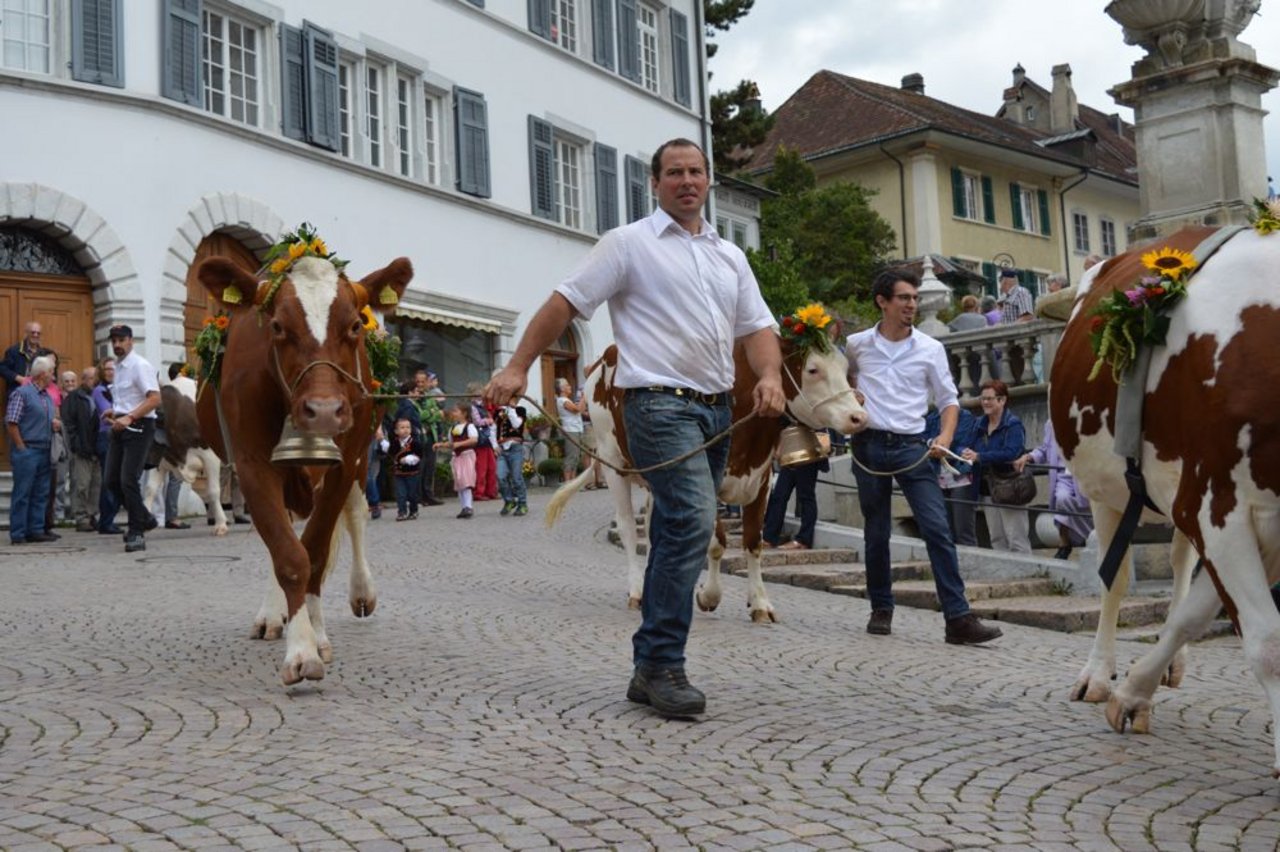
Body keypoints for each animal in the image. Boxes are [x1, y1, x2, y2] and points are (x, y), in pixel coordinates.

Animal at [194, 252, 409, 685]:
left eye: (354, 325)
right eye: (277, 326)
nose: (323, 411)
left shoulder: (344, 463)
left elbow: (315, 552)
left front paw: (317, 636)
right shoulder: (253, 464)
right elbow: (289, 556)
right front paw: (301, 649)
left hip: (361, 458)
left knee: (356, 514)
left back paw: (361, 591)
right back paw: (272, 615)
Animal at [550, 335, 870, 621]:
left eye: (846, 368)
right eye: (813, 369)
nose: (859, 416)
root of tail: (602, 359)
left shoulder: (761, 480)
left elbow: (753, 542)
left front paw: (760, 603)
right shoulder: (709, 479)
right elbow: (717, 542)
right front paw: (708, 596)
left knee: (654, 528)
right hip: (612, 460)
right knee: (629, 528)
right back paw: (637, 591)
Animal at [1049, 223, 1280, 767]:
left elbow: (1194, 612)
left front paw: (1136, 693)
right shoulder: (1218, 504)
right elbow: (1268, 643)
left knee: (1178, 565)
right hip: (1107, 491)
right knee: (1115, 580)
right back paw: (1096, 674)